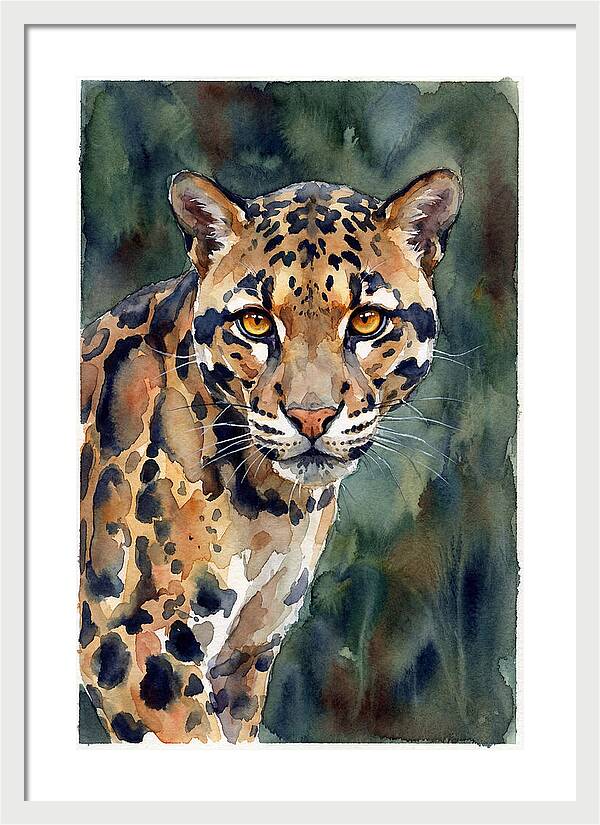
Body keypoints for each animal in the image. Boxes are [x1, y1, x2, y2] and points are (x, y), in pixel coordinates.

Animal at [79, 167, 463, 744]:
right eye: (256, 323)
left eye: (368, 321)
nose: (312, 416)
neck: (272, 507)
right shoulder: (133, 644)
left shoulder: (244, 657)